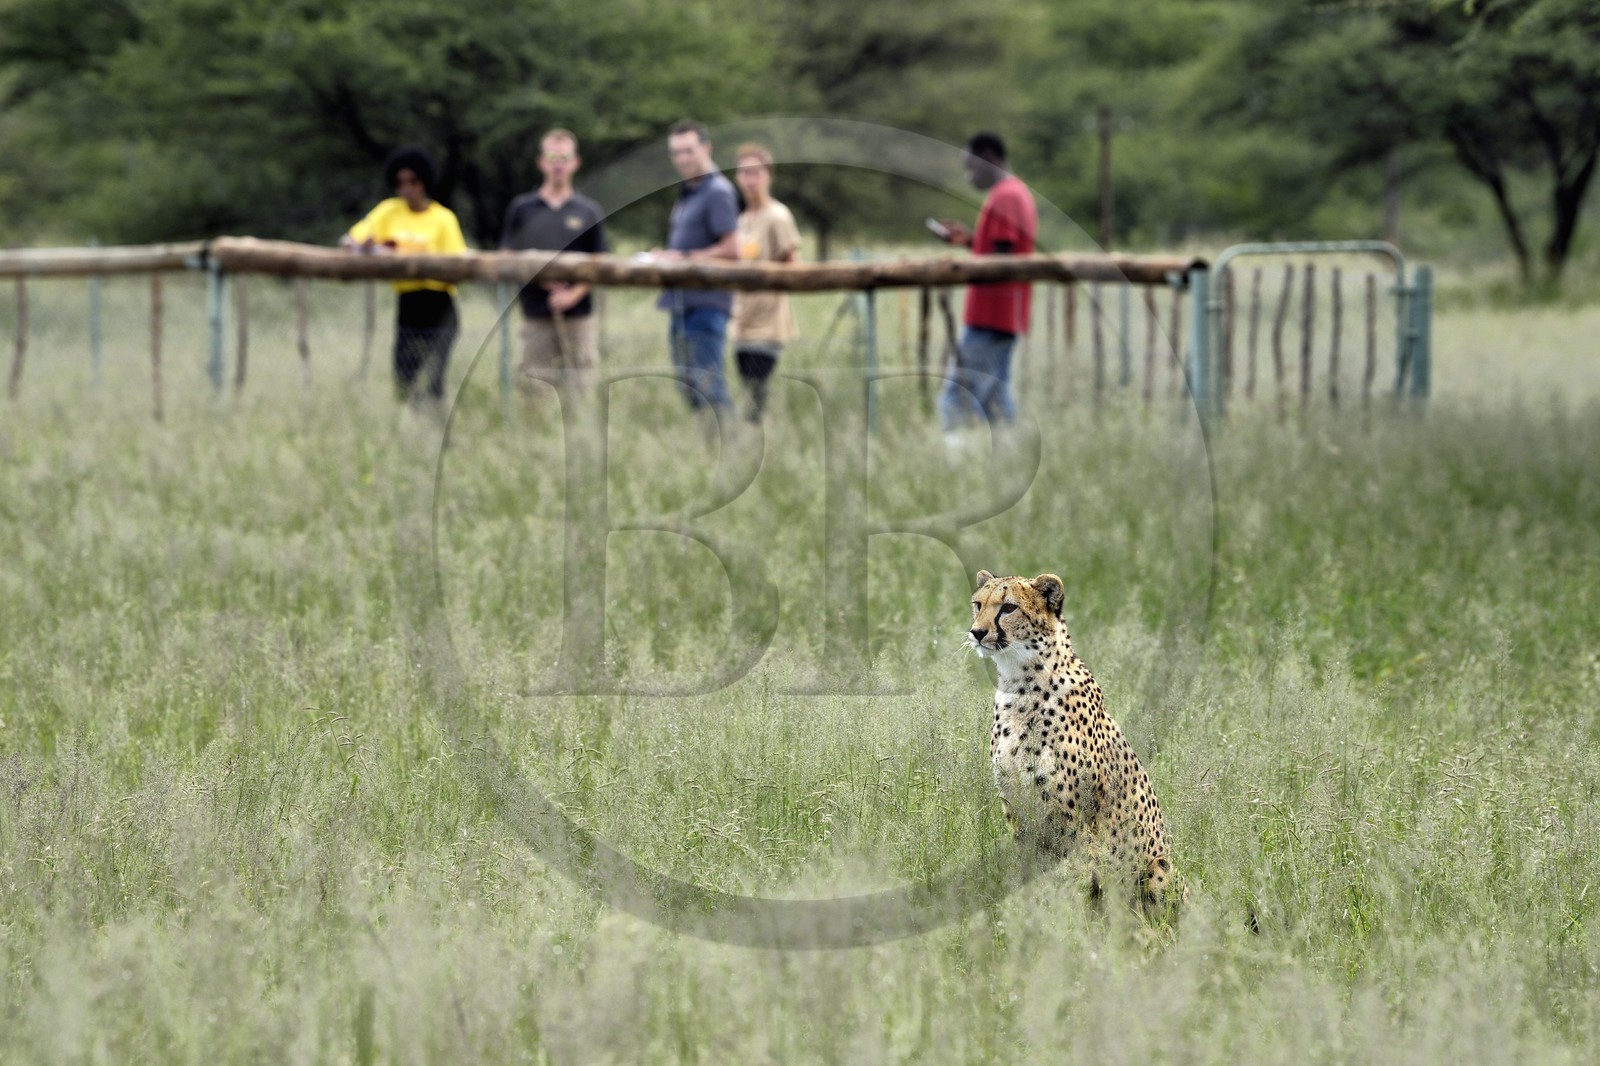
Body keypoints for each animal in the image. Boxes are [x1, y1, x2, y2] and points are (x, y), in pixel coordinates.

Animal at [967, 569, 1176, 911]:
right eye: (978, 604)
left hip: (1158, 867)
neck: (1020, 683)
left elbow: (1074, 878)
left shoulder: (1073, 821)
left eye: (1008, 608)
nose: (977, 632)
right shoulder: (1017, 811)